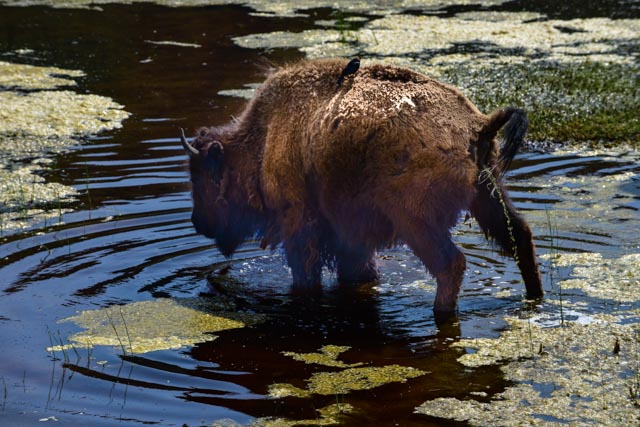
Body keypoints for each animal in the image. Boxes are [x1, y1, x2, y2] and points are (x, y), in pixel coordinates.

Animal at [182, 57, 544, 318]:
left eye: (202, 177)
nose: (198, 221)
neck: (264, 138)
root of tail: (477, 124)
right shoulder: (350, 235)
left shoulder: (300, 227)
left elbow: (306, 272)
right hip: (489, 196)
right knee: (520, 236)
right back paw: (535, 298)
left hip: (417, 221)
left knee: (450, 264)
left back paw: (441, 313)